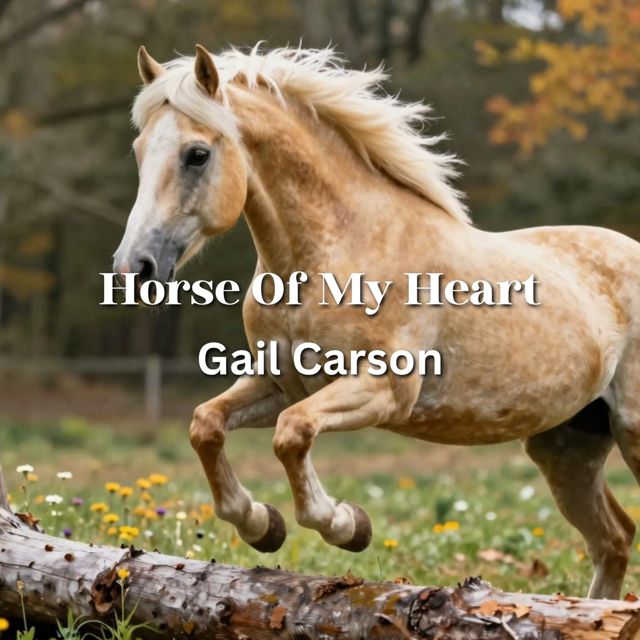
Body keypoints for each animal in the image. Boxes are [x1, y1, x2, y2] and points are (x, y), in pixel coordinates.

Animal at [112, 44, 640, 599]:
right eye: (140, 150)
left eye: (197, 154)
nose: (134, 268)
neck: (333, 253)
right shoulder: (281, 384)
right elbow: (206, 425)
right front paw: (263, 524)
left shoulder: (384, 390)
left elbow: (292, 434)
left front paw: (348, 525)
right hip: (565, 446)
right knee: (613, 539)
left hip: (630, 431)